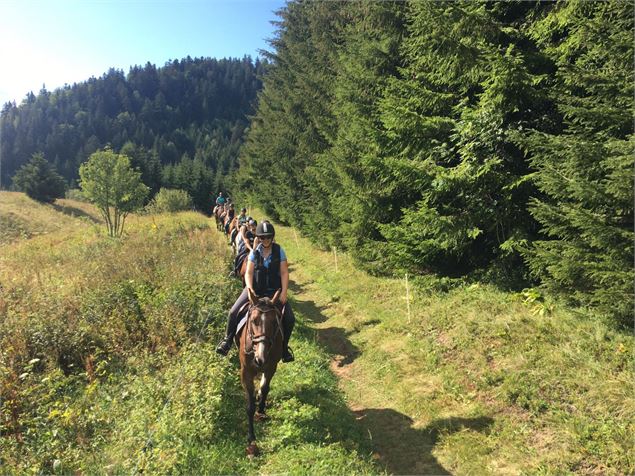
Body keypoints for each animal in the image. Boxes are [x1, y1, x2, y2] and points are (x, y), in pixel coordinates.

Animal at [238, 288, 284, 456]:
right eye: (253, 321)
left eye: (274, 322)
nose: (260, 358)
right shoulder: (246, 372)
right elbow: (250, 406)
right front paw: (251, 439)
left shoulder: (271, 367)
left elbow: (264, 388)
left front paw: (261, 410)